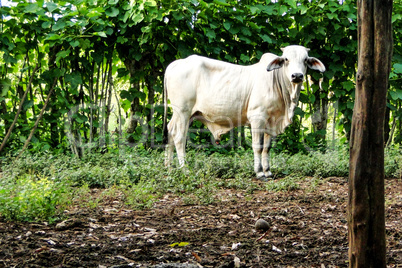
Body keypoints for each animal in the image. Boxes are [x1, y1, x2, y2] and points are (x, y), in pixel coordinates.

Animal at [162, 45, 326, 180]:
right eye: (286, 59)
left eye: (305, 60)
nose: (297, 76)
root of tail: (175, 64)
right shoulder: (257, 118)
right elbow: (257, 146)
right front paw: (259, 173)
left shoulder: (271, 121)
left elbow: (267, 147)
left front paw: (268, 171)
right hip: (183, 111)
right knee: (179, 137)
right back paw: (185, 169)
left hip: (184, 114)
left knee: (170, 130)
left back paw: (169, 168)